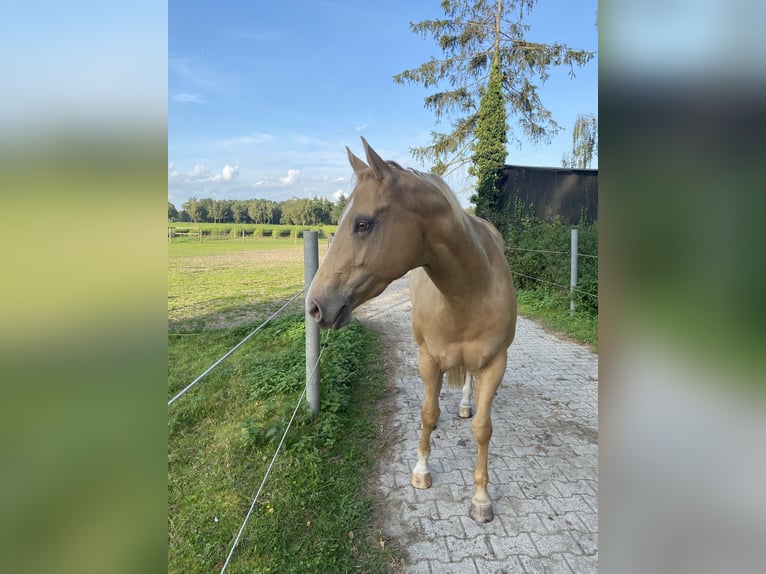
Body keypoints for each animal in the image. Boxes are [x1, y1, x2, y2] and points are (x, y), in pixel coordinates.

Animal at [308, 137, 520, 524]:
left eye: (362, 223)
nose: (314, 305)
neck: (470, 291)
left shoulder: (496, 363)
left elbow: (483, 429)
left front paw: (481, 498)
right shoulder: (428, 359)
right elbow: (427, 413)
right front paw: (421, 470)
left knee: (468, 384)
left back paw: (465, 404)